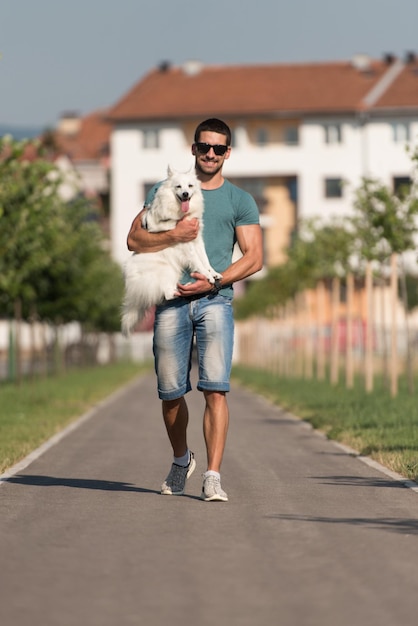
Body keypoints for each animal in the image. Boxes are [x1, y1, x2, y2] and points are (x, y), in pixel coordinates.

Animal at [121, 163, 222, 334]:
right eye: (178, 187)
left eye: (190, 186)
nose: (186, 194)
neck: (181, 213)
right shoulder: (186, 245)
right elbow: (198, 262)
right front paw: (207, 277)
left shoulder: (197, 240)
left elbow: (205, 260)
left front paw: (213, 273)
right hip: (167, 269)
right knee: (167, 294)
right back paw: (183, 290)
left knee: (167, 292)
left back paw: (185, 287)